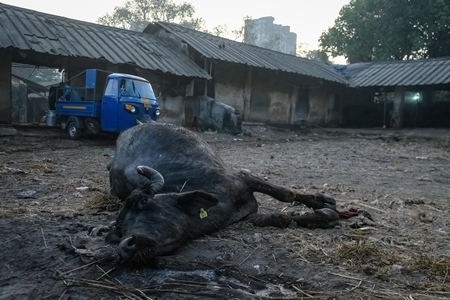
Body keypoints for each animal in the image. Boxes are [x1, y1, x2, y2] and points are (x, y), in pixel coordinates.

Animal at [105, 122, 338, 262]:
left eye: (143, 202)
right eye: (120, 231)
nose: (126, 246)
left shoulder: (242, 178)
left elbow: (285, 194)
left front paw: (322, 203)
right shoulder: (245, 215)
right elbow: (280, 218)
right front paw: (321, 216)